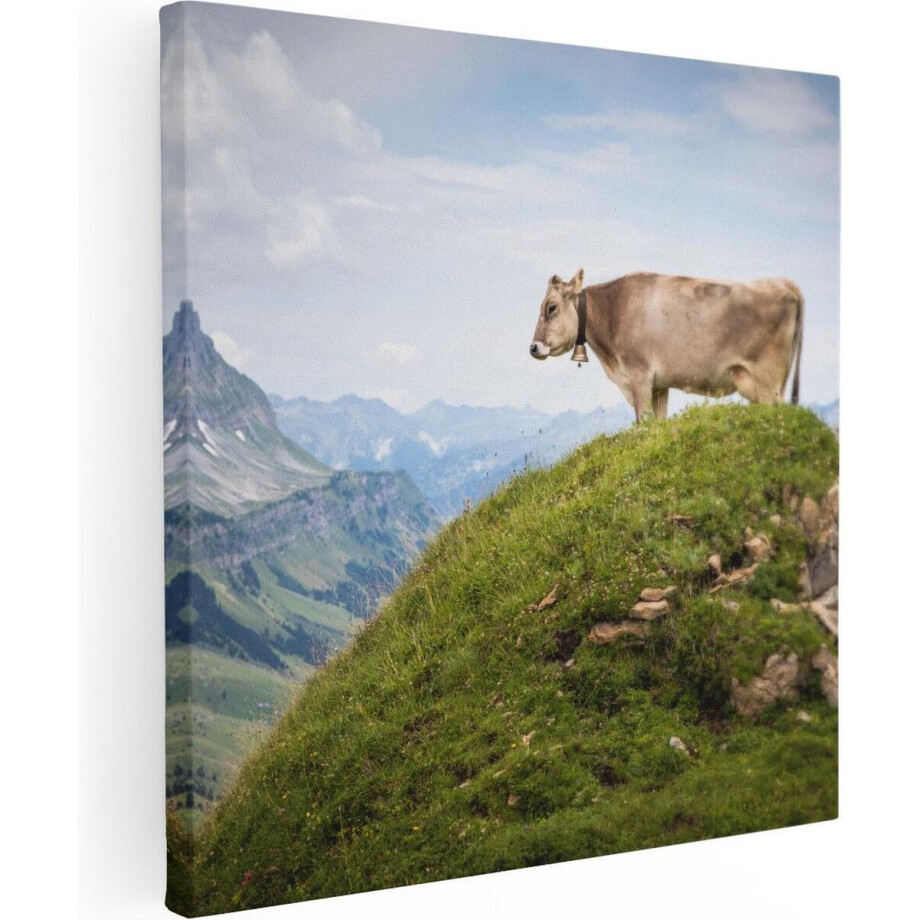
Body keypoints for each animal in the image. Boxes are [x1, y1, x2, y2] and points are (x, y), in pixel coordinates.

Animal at [529, 269, 803, 423]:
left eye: (551, 307)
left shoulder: (639, 376)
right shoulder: (659, 386)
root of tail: (785, 284)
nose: (533, 347)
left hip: (768, 381)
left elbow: (642, 424)